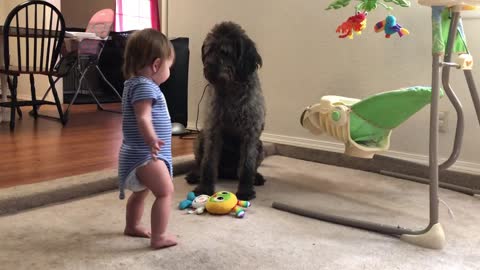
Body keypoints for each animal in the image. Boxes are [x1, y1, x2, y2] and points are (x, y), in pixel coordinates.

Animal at [185, 21, 266, 200]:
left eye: (225, 52)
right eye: (208, 51)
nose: (208, 68)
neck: (231, 89)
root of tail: (227, 173)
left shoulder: (250, 134)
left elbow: (247, 166)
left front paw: (245, 190)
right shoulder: (213, 131)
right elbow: (208, 164)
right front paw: (204, 188)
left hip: (260, 145)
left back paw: (256, 177)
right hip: (200, 138)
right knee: (200, 163)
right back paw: (195, 174)